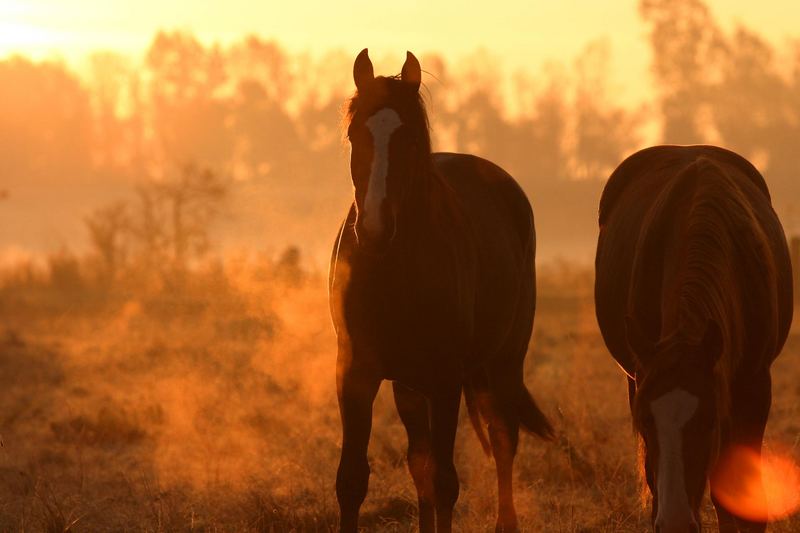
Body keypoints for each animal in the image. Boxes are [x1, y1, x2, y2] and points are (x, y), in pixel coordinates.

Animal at [328, 47, 552, 528]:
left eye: (411, 139)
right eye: (355, 134)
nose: (373, 228)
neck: (393, 270)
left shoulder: (446, 376)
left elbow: (447, 480)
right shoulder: (356, 371)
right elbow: (353, 479)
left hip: (504, 362)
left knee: (502, 438)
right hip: (411, 385)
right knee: (420, 461)